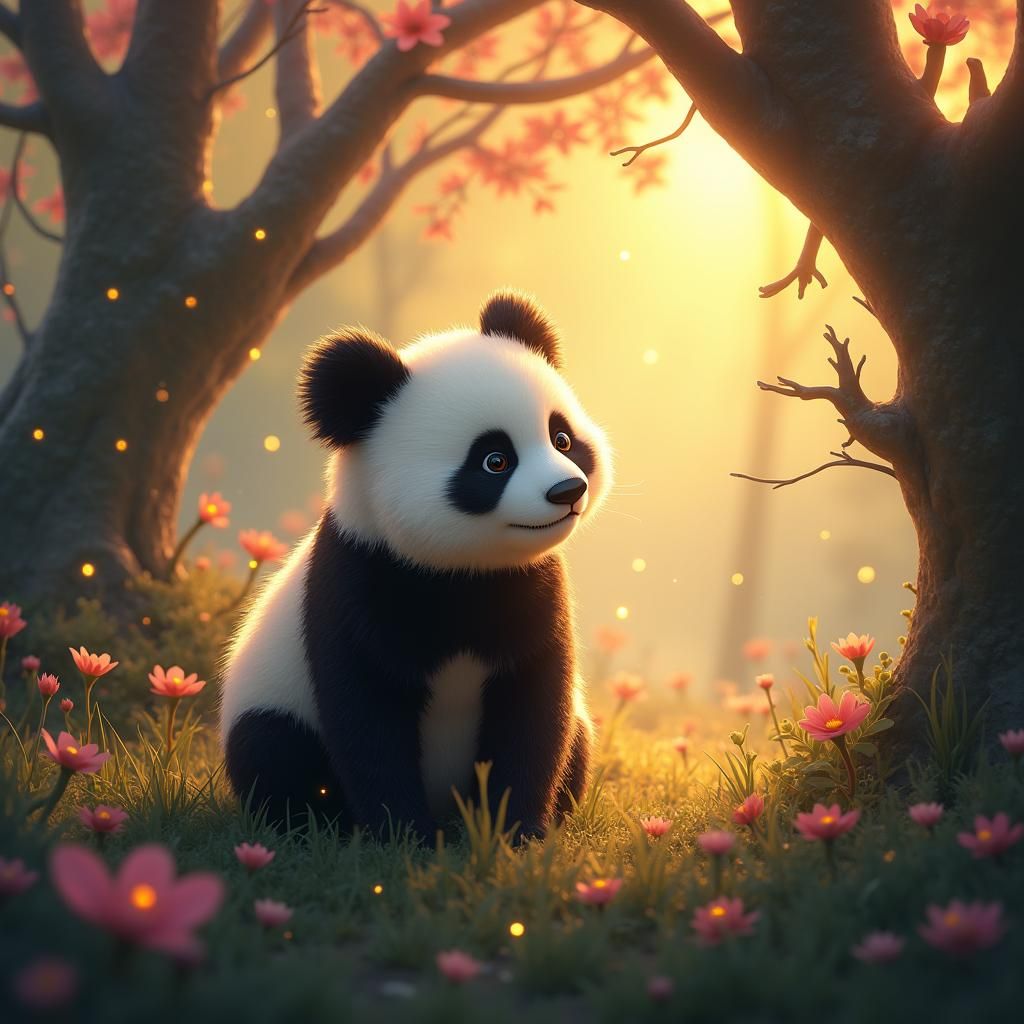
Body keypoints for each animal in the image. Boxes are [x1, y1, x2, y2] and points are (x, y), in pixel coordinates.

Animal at [219, 291, 612, 840]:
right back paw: (325, 829)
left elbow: (535, 706)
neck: (463, 570)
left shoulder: (533, 586)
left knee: (576, 739)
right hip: (272, 703)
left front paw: (516, 834)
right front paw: (404, 837)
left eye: (562, 439)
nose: (567, 490)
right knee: (271, 748)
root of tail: (449, 803)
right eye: (494, 461)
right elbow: (367, 713)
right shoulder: (359, 575)